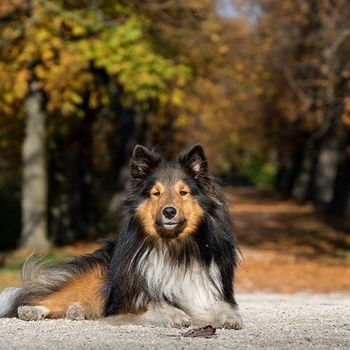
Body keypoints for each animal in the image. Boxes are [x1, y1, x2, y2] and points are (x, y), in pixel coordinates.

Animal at [0, 144, 242, 328]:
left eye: (183, 192)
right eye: (156, 193)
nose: (169, 212)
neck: (173, 246)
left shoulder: (208, 290)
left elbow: (225, 306)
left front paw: (230, 319)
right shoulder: (130, 300)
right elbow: (157, 303)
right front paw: (177, 315)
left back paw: (77, 311)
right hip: (94, 279)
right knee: (49, 298)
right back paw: (32, 310)